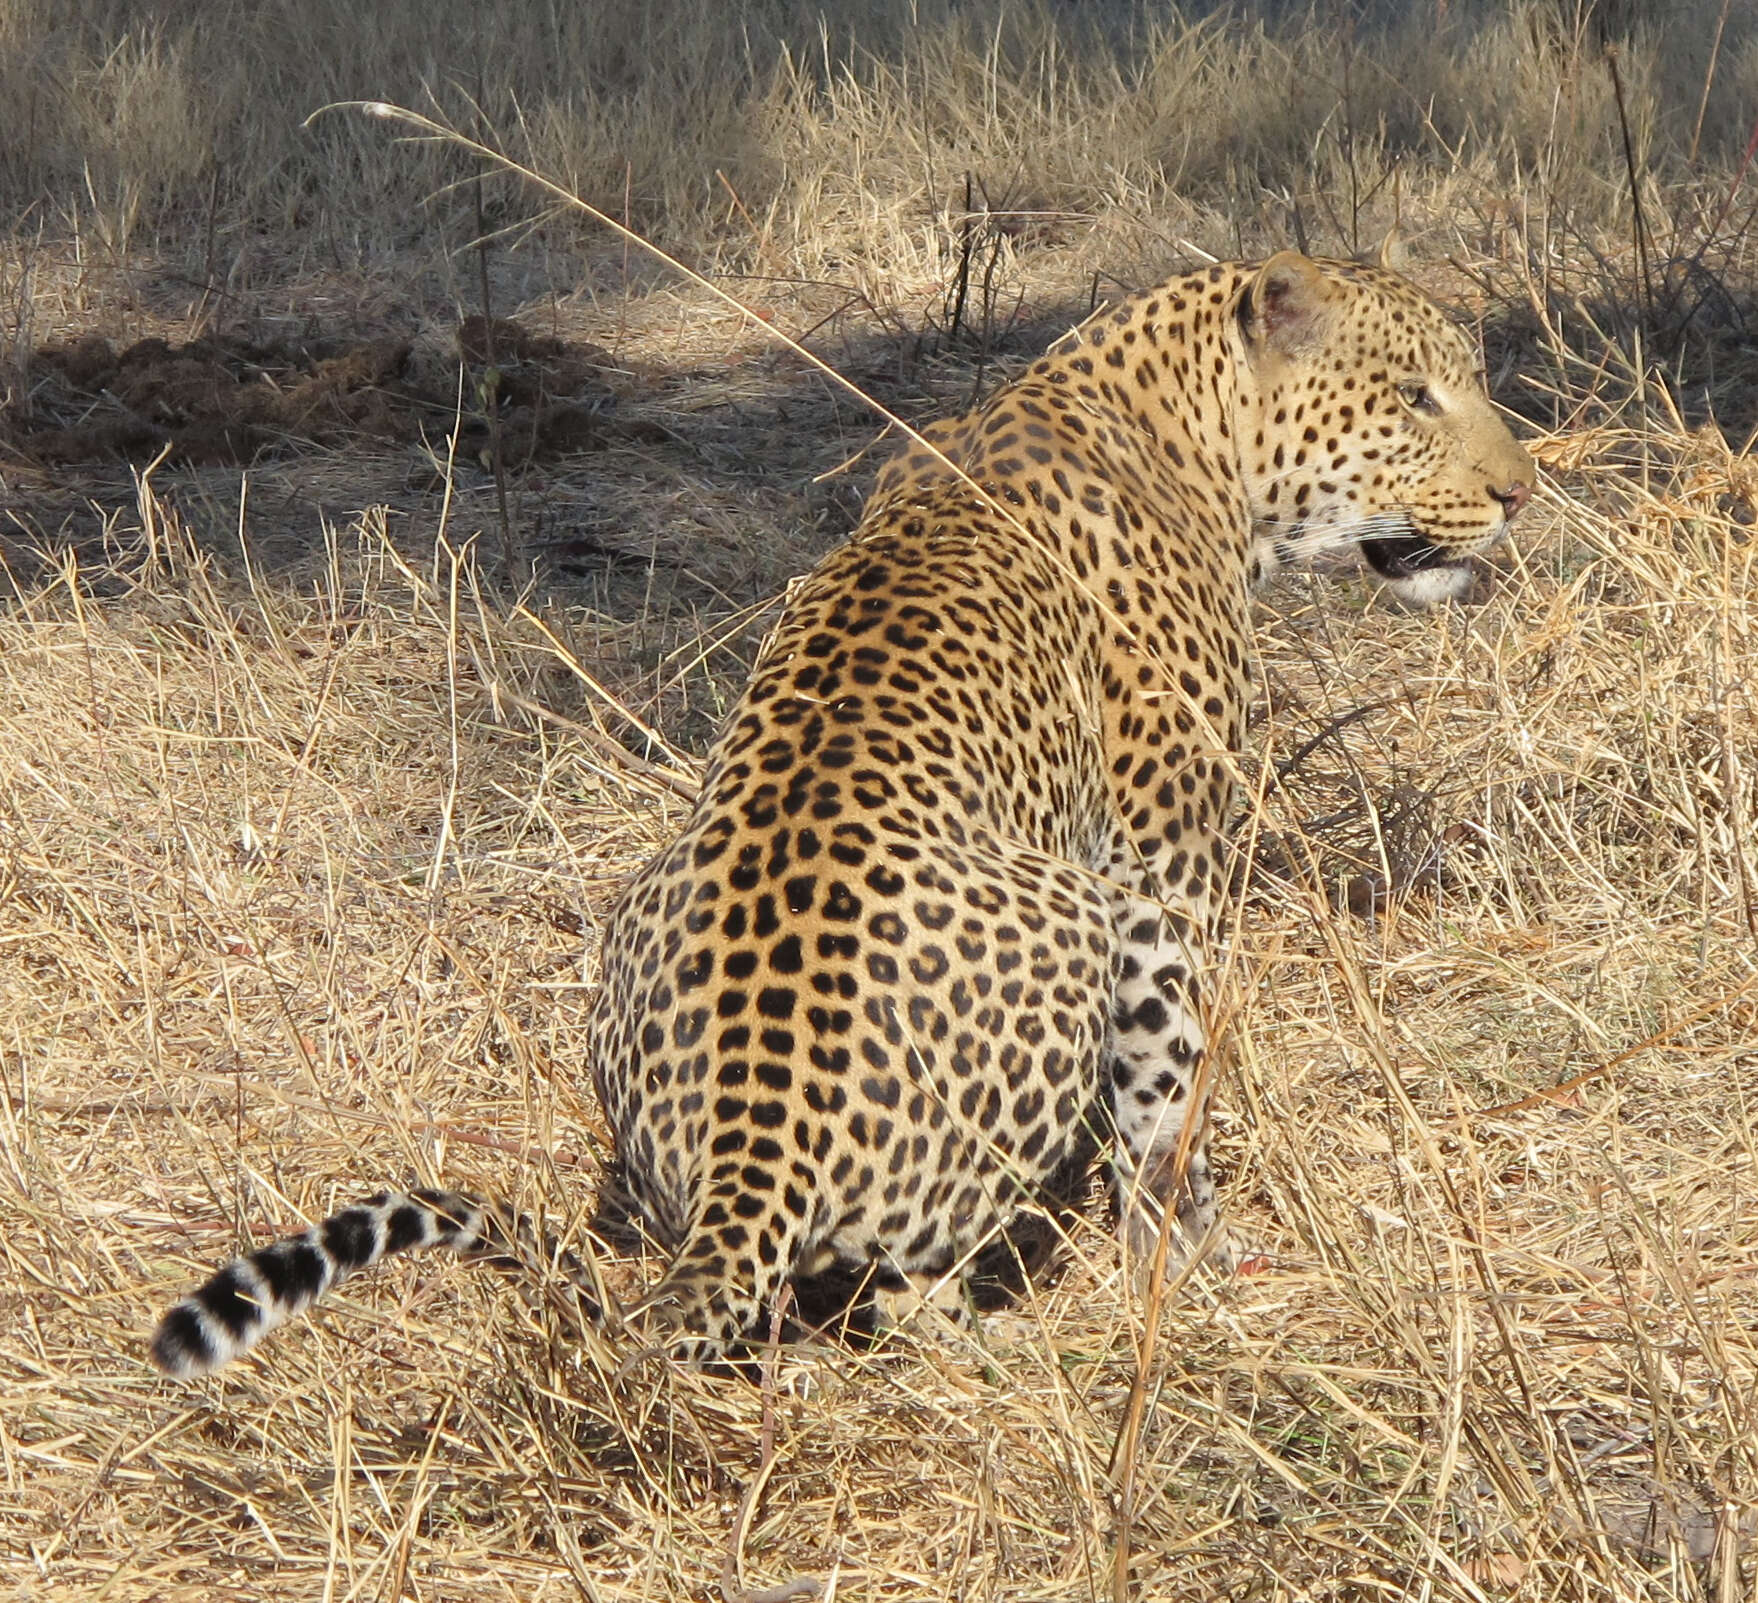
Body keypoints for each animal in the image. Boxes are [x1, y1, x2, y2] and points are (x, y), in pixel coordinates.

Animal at [151, 249, 1532, 1378]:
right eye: (1416, 396)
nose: (1523, 491)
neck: (1185, 431)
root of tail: (750, 1154)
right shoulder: (1159, 873)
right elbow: (1166, 1094)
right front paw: (1180, 1255)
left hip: (637, 929)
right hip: (1070, 921)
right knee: (907, 1297)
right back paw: (1012, 1348)